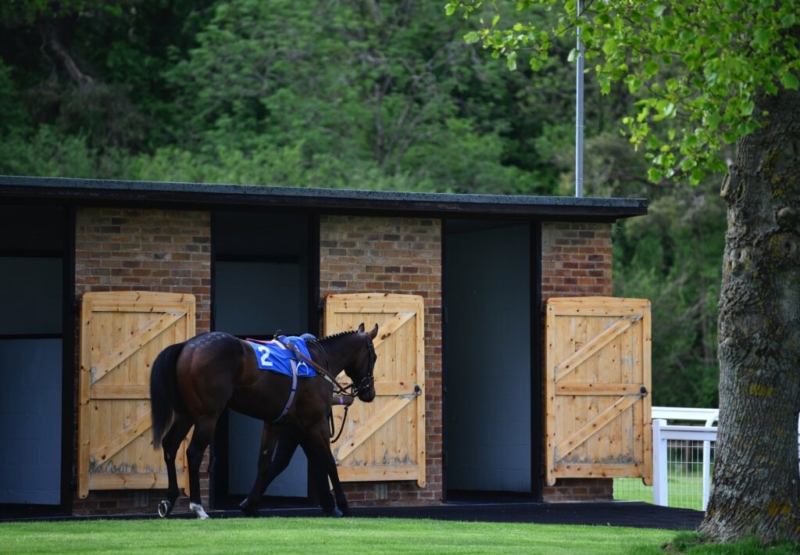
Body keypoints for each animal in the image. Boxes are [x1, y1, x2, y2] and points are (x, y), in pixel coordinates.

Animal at [150, 324, 378, 520]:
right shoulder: (317, 423)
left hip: (185, 414)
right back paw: (198, 507)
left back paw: (169, 501)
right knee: (194, 453)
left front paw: (250, 505)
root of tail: (187, 346)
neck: (316, 361)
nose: (369, 392)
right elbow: (329, 462)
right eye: (374, 356)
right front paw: (344, 505)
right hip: (207, 416)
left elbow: (265, 463)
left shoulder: (275, 423)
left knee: (170, 446)